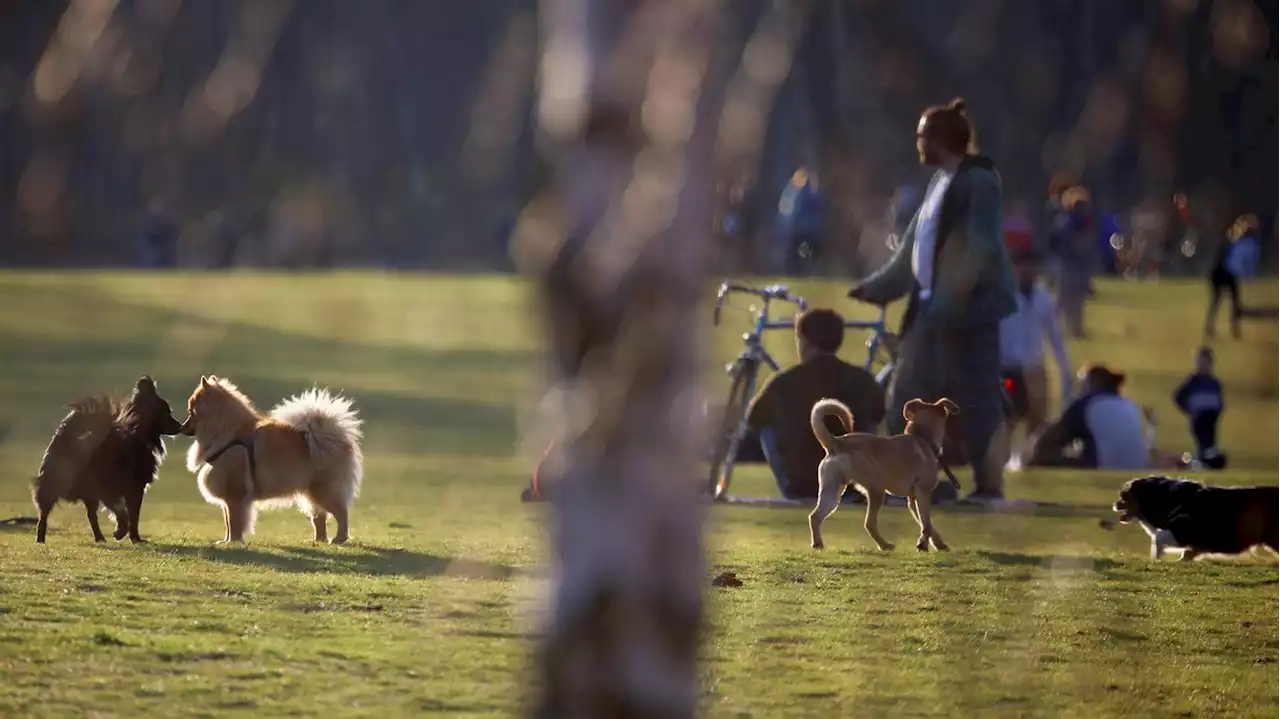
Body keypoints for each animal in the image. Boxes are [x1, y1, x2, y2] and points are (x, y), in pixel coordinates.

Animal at [32, 378, 183, 539]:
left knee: (90, 515)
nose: (180, 426)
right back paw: (40, 538)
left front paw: (133, 537)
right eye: (166, 413)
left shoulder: (133, 488)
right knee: (44, 514)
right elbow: (125, 513)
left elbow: (132, 515)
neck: (136, 434)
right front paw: (122, 532)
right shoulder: (118, 489)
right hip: (59, 484)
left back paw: (99, 538)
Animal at [177, 378, 363, 539]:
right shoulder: (228, 497)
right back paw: (318, 540)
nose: (181, 427)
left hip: (323, 489)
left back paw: (339, 538)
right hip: (310, 492)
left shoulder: (235, 493)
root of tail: (337, 436)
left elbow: (234, 521)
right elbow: (228, 522)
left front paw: (233, 541)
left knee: (341, 513)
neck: (229, 433)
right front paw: (227, 540)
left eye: (191, 412)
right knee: (319, 516)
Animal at [808, 394, 962, 550]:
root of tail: (837, 442)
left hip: (832, 491)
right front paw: (923, 544)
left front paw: (939, 544)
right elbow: (927, 524)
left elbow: (927, 524)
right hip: (876, 489)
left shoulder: (913, 499)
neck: (922, 437)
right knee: (869, 523)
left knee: (815, 516)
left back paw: (818, 543)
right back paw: (884, 545)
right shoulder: (923, 491)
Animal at [1111, 475, 1280, 560]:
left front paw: (1155, 558)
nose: (1114, 504)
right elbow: (1185, 555)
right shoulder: (1196, 545)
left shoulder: (1183, 532)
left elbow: (1158, 538)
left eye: (1123, 496)